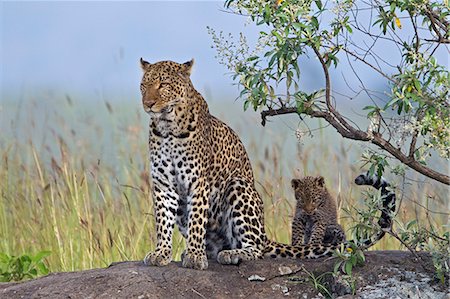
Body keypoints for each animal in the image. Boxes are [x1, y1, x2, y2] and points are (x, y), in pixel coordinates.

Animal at [140, 59, 334, 272]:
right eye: (144, 86)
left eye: (163, 85)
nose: (148, 104)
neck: (167, 127)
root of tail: (265, 235)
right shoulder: (163, 184)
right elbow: (163, 221)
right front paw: (161, 252)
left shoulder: (198, 183)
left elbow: (197, 221)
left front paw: (195, 256)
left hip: (238, 186)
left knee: (256, 249)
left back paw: (232, 254)